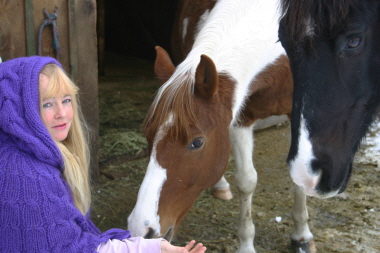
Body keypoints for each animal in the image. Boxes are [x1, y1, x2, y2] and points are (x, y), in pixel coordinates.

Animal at [128, 0, 294, 252]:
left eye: (197, 142)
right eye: (148, 135)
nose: (142, 230)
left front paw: (302, 236)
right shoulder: (240, 117)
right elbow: (246, 180)